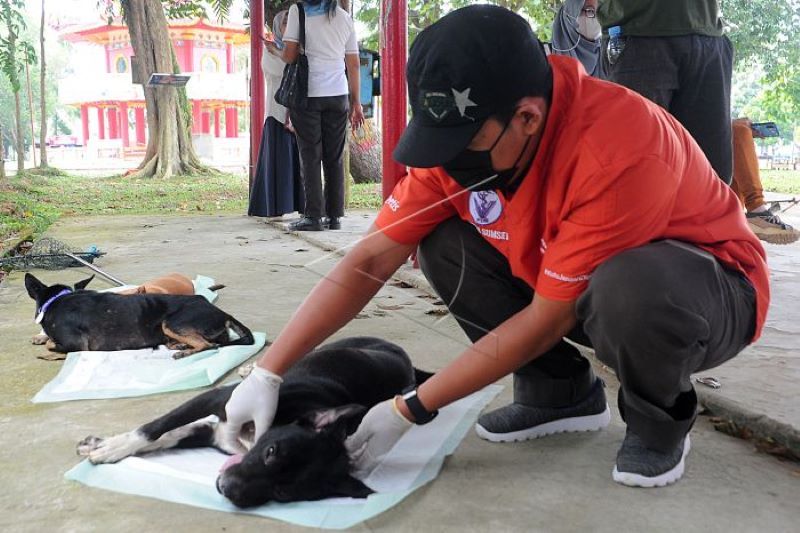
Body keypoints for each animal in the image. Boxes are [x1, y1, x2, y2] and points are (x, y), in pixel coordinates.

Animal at [25, 274, 252, 358]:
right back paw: (179, 346)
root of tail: (222, 313)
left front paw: (48, 350)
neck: (57, 300)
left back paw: (184, 351)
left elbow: (51, 345)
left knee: (208, 345)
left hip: (172, 323)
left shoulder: (76, 344)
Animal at [78, 336, 432, 508]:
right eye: (272, 451)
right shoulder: (218, 402)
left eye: (283, 493)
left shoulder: (217, 434)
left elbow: (173, 435)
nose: (227, 489)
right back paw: (254, 368)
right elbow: (155, 429)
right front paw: (112, 447)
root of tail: (409, 362)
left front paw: (104, 445)